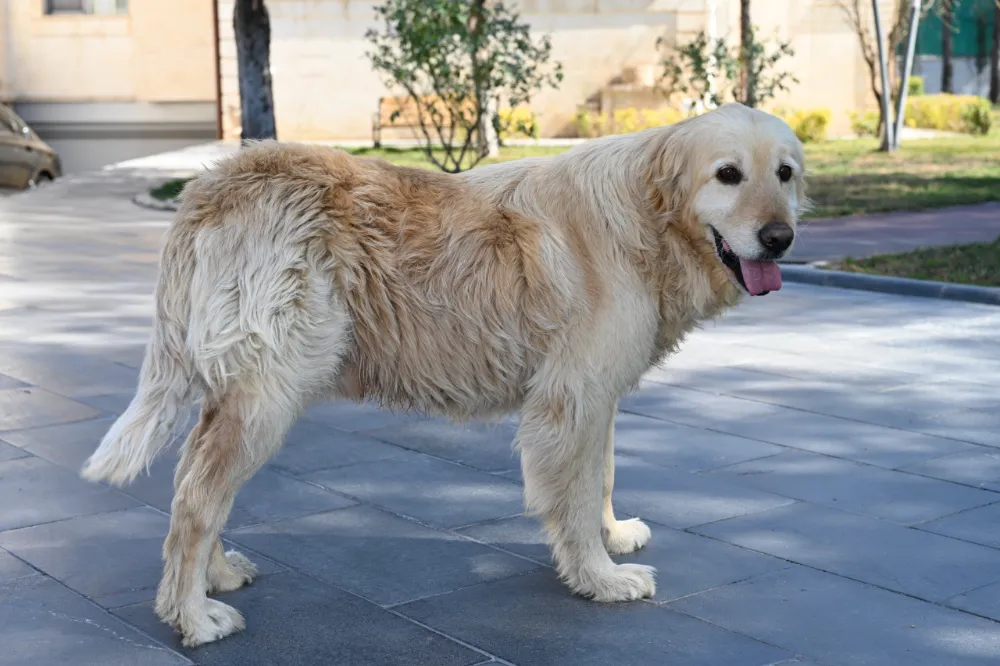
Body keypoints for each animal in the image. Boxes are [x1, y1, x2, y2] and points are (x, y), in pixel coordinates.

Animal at [82, 102, 808, 644]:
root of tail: (217, 179)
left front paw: (612, 539)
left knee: (196, 480)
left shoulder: (596, 397)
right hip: (269, 390)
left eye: (785, 172)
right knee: (196, 498)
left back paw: (216, 575)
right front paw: (598, 579)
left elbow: (599, 477)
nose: (781, 239)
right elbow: (573, 498)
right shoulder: (569, 399)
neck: (646, 216)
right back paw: (192, 615)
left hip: (240, 391)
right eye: (727, 174)